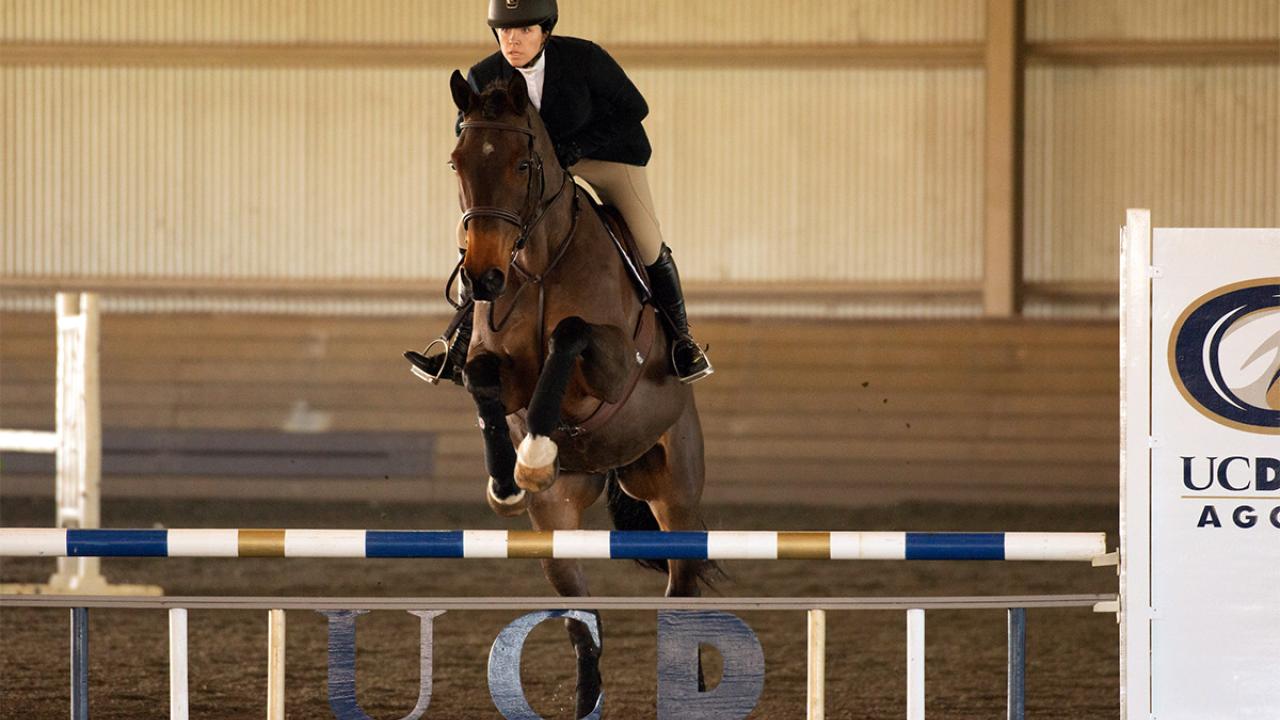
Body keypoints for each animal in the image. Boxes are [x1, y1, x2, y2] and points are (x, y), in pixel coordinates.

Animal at [445, 68, 716, 712]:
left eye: (523, 164)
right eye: (456, 162)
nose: (482, 278)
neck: (539, 265)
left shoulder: (615, 367)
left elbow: (569, 335)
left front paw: (536, 453)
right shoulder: (503, 373)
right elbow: (481, 377)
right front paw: (511, 474)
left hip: (676, 491)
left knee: (682, 591)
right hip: (559, 519)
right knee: (579, 618)